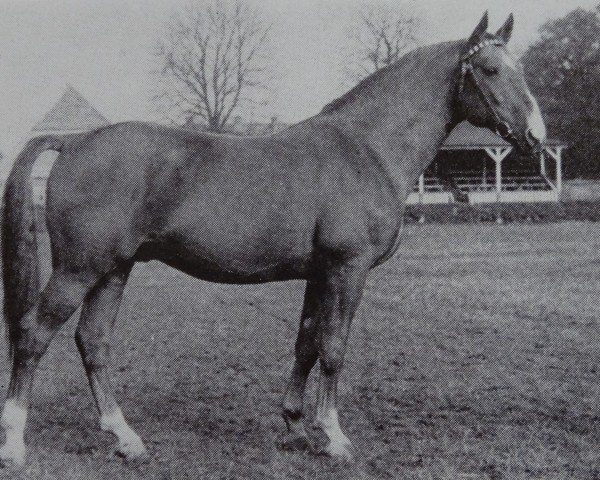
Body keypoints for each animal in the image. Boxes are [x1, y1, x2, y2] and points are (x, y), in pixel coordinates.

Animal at [0, 12, 544, 464]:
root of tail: (73, 141)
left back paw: (126, 439)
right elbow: (334, 347)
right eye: (490, 69)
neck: (366, 149)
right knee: (32, 334)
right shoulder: (347, 269)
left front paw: (296, 428)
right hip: (78, 270)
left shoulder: (319, 272)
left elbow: (306, 343)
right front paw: (335, 438)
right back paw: (15, 444)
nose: (536, 136)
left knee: (92, 341)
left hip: (113, 269)